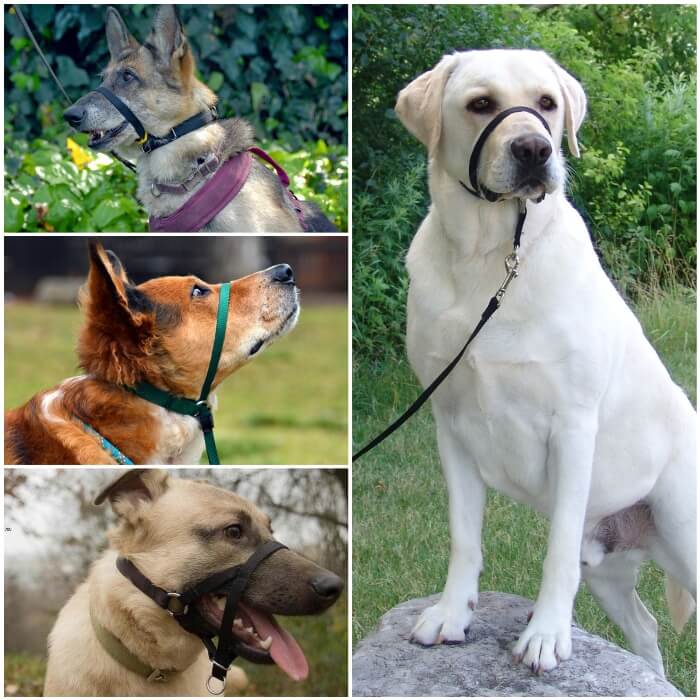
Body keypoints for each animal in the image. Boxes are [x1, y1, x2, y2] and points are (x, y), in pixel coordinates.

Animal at [394, 49, 696, 680]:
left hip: (686, 539)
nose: (534, 149)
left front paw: (546, 635)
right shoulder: (450, 424)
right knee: (647, 629)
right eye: (481, 103)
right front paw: (452, 614)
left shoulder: (574, 425)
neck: (491, 257)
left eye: (547, 103)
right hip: (610, 569)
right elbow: (464, 536)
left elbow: (555, 552)